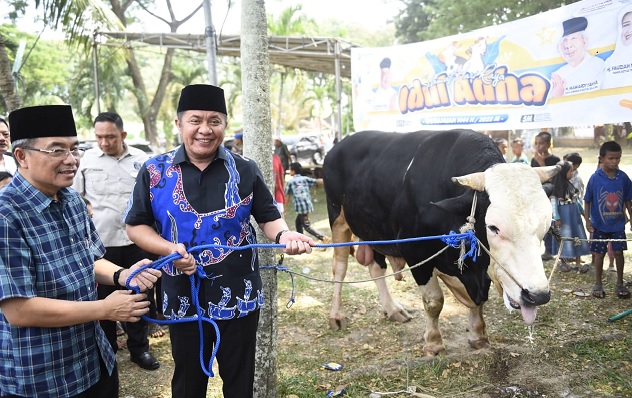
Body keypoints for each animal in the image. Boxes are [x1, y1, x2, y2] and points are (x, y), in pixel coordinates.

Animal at [324, 130, 560, 354]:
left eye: (546, 225)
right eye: (494, 227)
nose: (537, 295)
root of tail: (338, 147)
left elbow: (479, 301)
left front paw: (478, 336)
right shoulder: (415, 252)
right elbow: (434, 301)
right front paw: (434, 343)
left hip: (373, 231)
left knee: (376, 268)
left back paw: (393, 309)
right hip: (338, 218)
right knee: (339, 268)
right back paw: (336, 315)